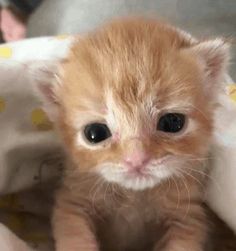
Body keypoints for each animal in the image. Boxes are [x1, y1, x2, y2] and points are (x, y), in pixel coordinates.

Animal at [37, 17, 230, 251]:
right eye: (95, 133)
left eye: (172, 122)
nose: (137, 160)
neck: (134, 196)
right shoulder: (72, 202)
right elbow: (74, 234)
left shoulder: (188, 217)